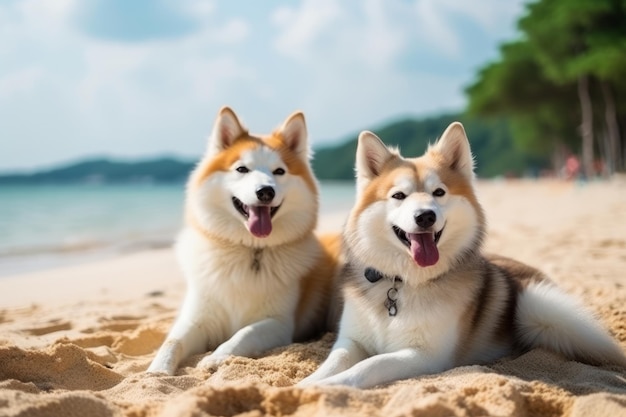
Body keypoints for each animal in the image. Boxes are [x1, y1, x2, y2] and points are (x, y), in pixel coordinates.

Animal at [147, 107, 338, 374]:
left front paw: (215, 358)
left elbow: (242, 335)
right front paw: (157, 371)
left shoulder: (278, 322)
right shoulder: (197, 317)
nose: (265, 191)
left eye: (279, 171)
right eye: (241, 169)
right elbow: (172, 342)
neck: (249, 249)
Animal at [298, 122, 624, 388]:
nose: (425, 216)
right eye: (399, 196)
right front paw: (303, 385)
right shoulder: (351, 340)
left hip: (540, 308)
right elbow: (335, 361)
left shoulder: (425, 355)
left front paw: (326, 387)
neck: (402, 282)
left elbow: (369, 365)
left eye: (439, 193)